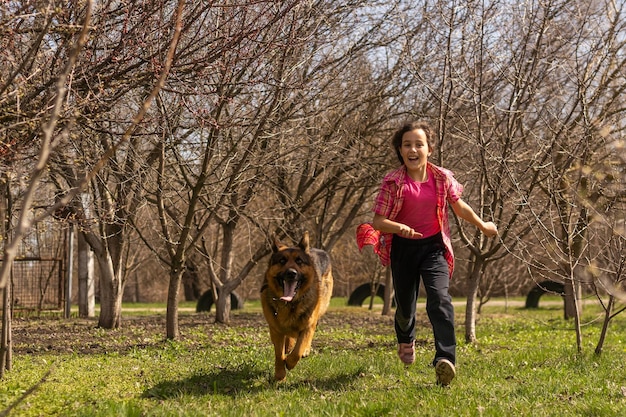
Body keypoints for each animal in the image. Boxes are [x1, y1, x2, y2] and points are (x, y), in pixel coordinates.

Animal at [260, 231, 334, 380]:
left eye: (299, 261)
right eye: (282, 261)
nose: (291, 273)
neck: (290, 304)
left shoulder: (307, 326)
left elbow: (298, 350)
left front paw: (290, 362)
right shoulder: (275, 330)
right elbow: (279, 353)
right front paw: (280, 373)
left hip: (319, 311)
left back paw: (303, 349)